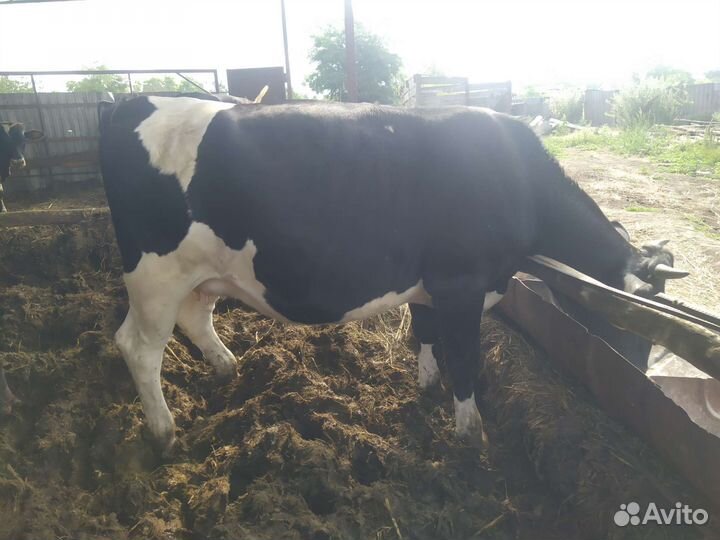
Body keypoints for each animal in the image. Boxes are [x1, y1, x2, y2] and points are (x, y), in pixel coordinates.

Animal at [97, 96, 688, 454]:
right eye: (634, 329)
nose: (637, 382)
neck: (517, 178)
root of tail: (135, 101)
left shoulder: (429, 286)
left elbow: (424, 334)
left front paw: (426, 386)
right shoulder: (460, 284)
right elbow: (464, 360)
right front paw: (471, 435)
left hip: (200, 272)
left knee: (196, 317)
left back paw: (227, 368)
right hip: (153, 275)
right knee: (138, 347)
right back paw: (164, 431)